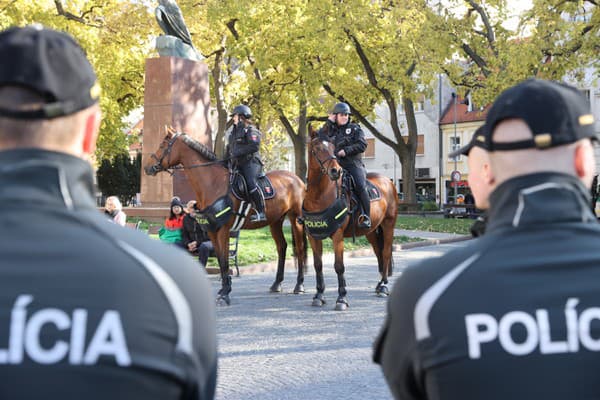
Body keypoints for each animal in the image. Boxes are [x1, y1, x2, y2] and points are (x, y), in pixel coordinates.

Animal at [144, 130, 308, 304]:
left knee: (300, 249)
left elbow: (224, 260)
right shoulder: (212, 230)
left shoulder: (223, 230)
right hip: (275, 221)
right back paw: (277, 284)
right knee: (282, 247)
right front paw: (224, 290)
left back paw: (299, 285)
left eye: (163, 145)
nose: (147, 167)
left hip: (295, 219)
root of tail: (297, 179)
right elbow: (221, 261)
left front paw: (225, 293)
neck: (212, 183)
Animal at [304, 128, 398, 310]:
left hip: (388, 225)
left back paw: (384, 286)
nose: (336, 171)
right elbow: (318, 265)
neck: (318, 196)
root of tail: (388, 182)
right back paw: (379, 285)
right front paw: (319, 295)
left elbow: (339, 266)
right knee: (378, 252)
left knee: (385, 253)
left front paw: (342, 298)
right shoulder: (313, 236)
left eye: (333, 147)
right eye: (317, 148)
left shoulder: (338, 235)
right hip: (371, 231)